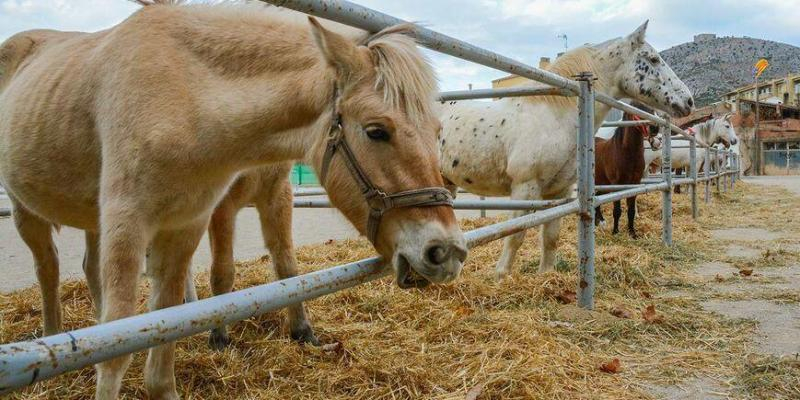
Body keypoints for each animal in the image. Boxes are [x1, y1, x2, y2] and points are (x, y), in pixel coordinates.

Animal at [0, 2, 466, 396]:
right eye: (376, 131)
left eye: (436, 131)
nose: (446, 251)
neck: (184, 96)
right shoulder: (133, 220)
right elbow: (122, 339)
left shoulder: (189, 223)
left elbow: (164, 326)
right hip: (28, 211)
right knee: (49, 271)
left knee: (88, 270)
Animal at [438, 21, 692, 280]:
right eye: (653, 59)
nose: (688, 101)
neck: (553, 115)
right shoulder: (524, 189)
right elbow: (515, 236)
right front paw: (501, 278)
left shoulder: (558, 192)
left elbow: (551, 238)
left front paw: (546, 276)